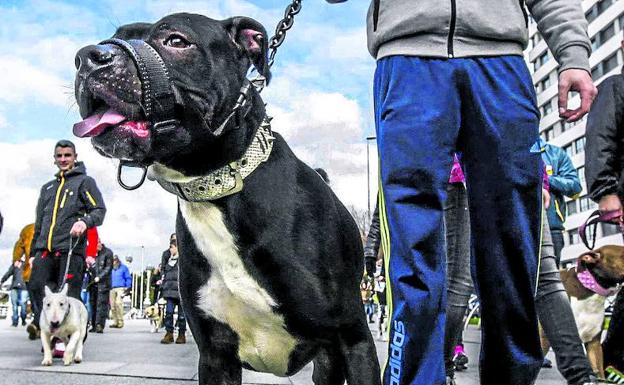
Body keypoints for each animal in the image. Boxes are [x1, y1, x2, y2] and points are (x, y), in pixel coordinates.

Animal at [70, 12, 378, 384]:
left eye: (176, 41)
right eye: (115, 35)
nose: (87, 57)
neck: (218, 188)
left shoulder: (354, 340)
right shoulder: (216, 357)